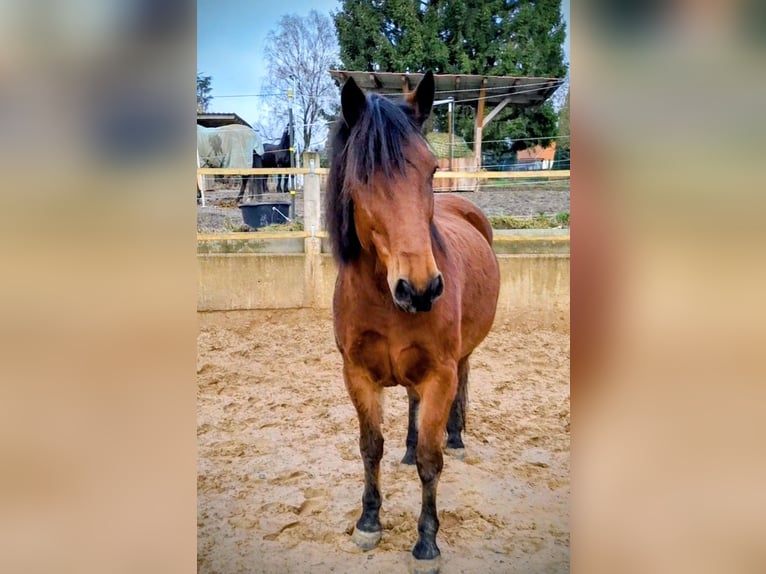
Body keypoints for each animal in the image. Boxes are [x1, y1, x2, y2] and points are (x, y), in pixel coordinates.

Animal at [326, 71, 500, 572]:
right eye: (363, 177)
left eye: (432, 170)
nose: (420, 289)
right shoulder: (357, 374)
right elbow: (370, 447)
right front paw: (368, 523)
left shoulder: (439, 374)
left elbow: (430, 458)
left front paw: (427, 543)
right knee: (409, 403)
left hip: (461, 357)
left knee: (463, 380)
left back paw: (458, 438)